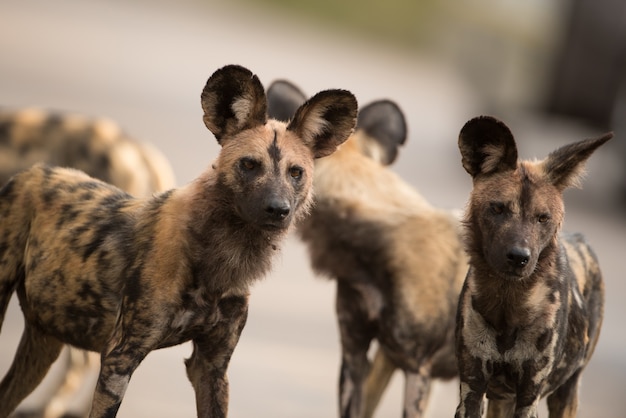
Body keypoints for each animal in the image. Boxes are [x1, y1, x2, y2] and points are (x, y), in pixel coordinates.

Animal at [450, 115, 608, 418]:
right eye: (498, 209)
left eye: (542, 218)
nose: (519, 257)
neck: (508, 303)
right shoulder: (472, 388)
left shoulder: (529, 394)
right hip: (500, 400)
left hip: (565, 394)